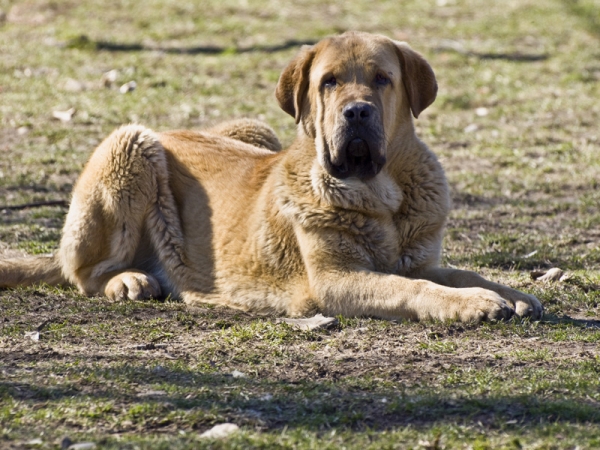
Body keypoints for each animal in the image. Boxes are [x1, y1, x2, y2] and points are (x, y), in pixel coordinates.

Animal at [0, 31, 544, 322]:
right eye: (329, 82)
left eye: (382, 79)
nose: (357, 112)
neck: (381, 195)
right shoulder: (337, 280)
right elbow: (416, 289)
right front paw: (474, 305)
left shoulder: (420, 260)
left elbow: (461, 274)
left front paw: (510, 295)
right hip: (132, 145)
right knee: (84, 272)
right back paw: (129, 280)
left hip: (252, 129)